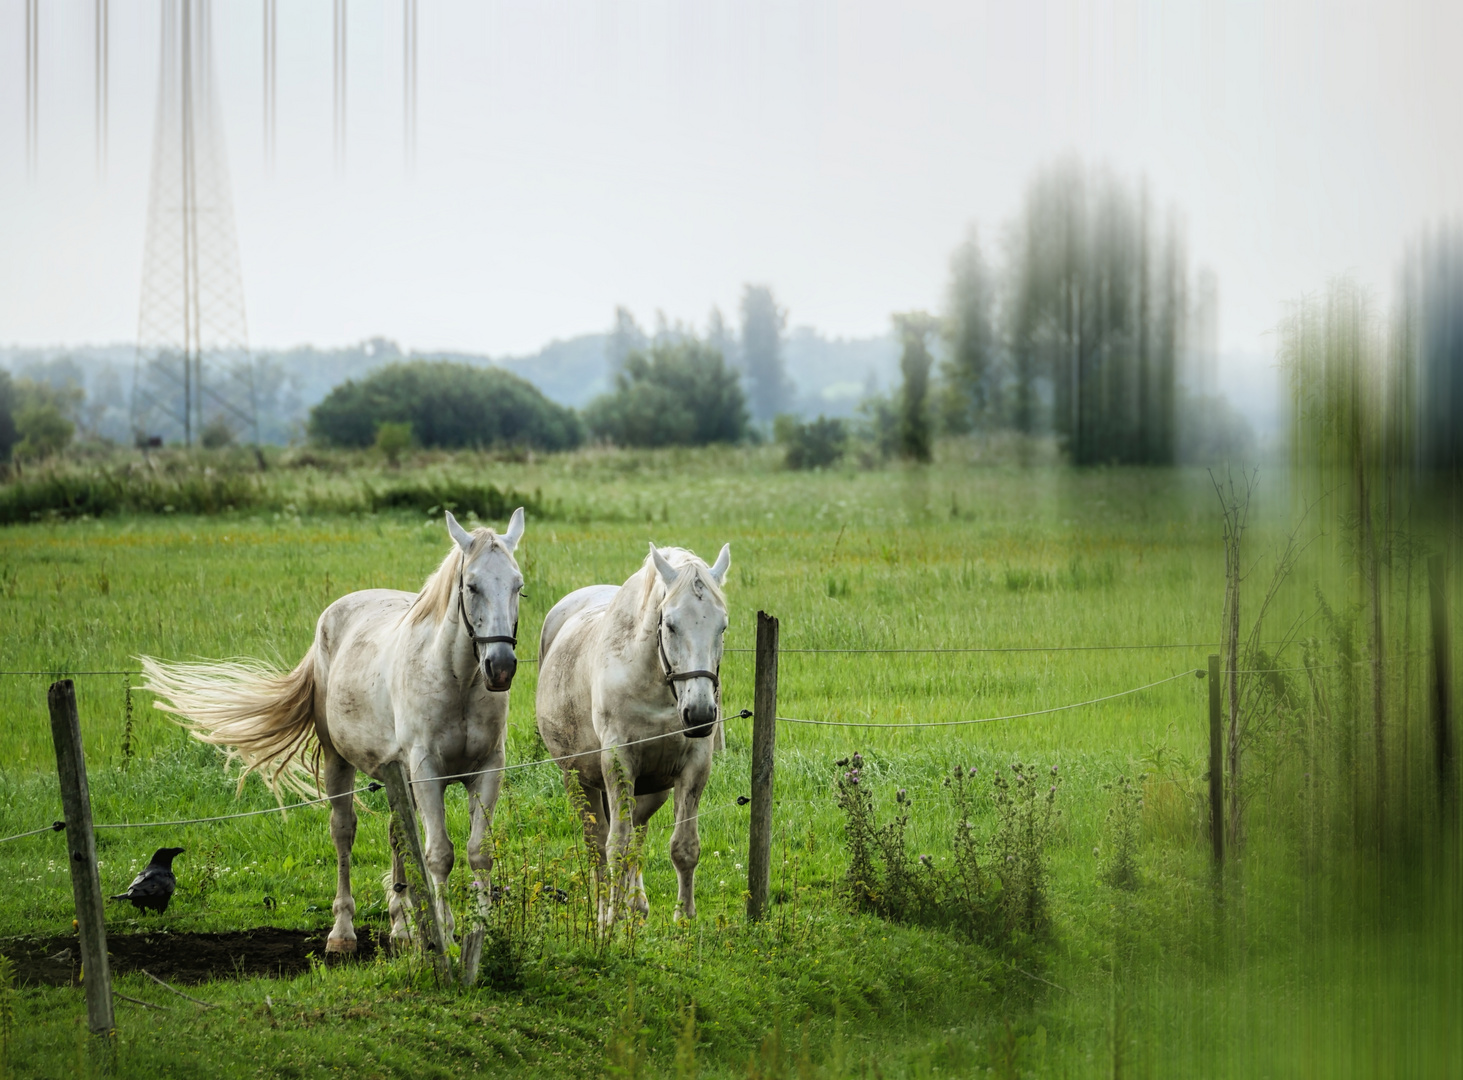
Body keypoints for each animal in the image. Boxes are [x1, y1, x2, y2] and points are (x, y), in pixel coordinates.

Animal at [141, 506, 526, 948]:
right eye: (472, 585)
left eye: (518, 587)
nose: (500, 667)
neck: (457, 680)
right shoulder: (427, 770)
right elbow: (439, 854)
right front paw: (444, 936)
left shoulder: (488, 768)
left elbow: (478, 851)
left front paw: (482, 932)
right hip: (337, 760)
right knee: (343, 831)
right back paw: (342, 934)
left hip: (395, 774)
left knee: (398, 834)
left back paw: (402, 928)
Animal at [535, 541, 728, 919]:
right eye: (671, 625)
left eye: (722, 627)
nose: (699, 714)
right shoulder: (618, 762)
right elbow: (614, 847)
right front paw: (610, 919)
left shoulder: (694, 766)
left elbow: (683, 847)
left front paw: (684, 918)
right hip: (578, 781)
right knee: (598, 844)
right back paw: (605, 910)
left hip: (651, 789)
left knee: (637, 834)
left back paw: (634, 904)